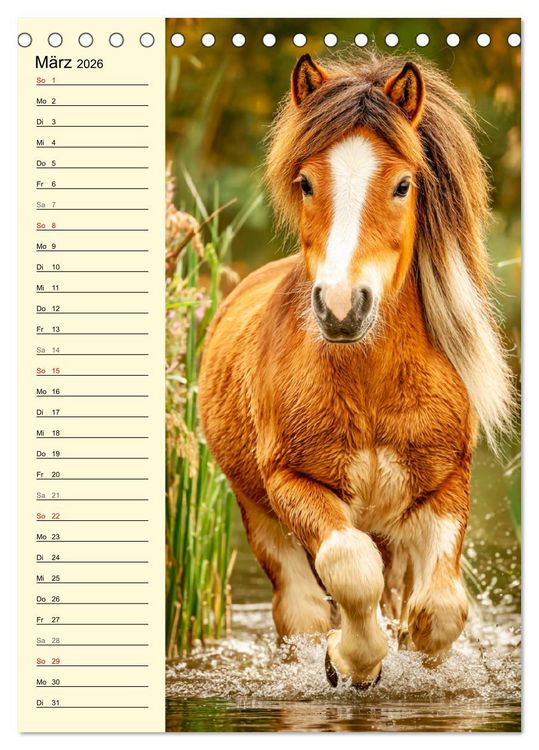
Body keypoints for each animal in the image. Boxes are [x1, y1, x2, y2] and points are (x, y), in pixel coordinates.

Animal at [198, 51, 514, 688]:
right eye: (305, 182)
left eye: (403, 184)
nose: (342, 306)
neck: (369, 385)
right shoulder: (295, 483)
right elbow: (349, 566)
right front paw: (350, 660)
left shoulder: (447, 484)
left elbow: (441, 608)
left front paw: (416, 654)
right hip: (261, 518)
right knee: (301, 606)